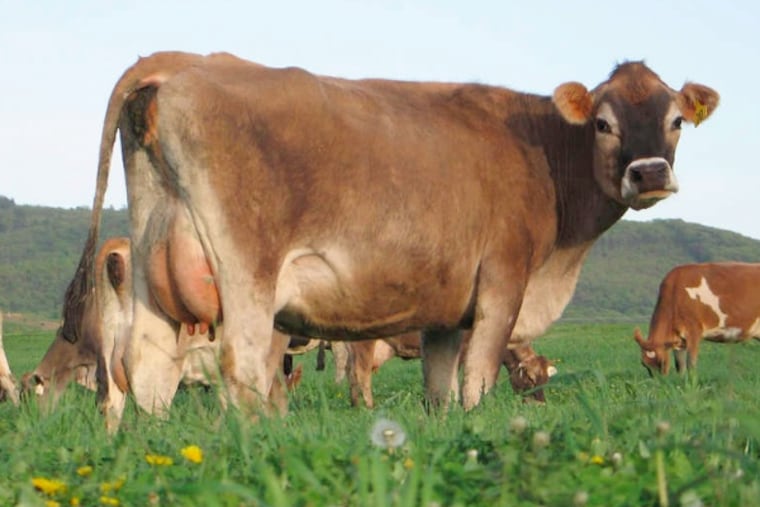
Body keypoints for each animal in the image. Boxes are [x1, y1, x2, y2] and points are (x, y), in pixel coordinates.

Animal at [63, 51, 718, 424]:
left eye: (676, 120)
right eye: (603, 123)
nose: (649, 173)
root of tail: (182, 63)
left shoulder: (447, 306)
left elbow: (439, 389)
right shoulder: (503, 282)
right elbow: (477, 382)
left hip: (152, 269)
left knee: (146, 371)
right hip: (247, 273)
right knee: (242, 368)